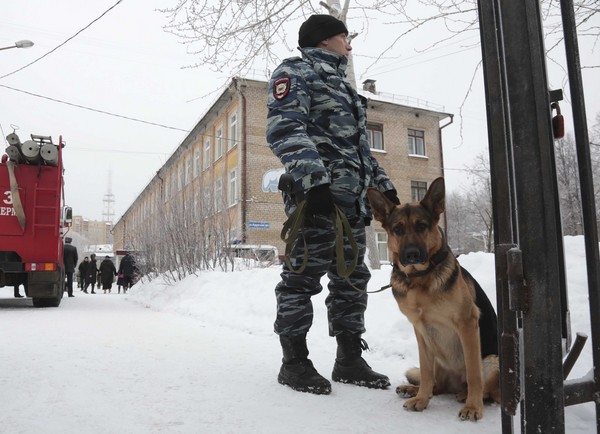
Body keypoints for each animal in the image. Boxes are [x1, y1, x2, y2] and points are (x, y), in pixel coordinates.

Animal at [368, 176, 500, 420]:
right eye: (398, 229)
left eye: (422, 226)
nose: (411, 254)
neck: (419, 279)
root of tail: (455, 384)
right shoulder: (420, 331)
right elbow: (426, 372)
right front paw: (421, 399)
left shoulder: (467, 324)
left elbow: (474, 374)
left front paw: (473, 406)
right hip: (436, 352)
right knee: (436, 384)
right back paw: (415, 390)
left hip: (492, 360)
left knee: (488, 390)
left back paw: (466, 397)